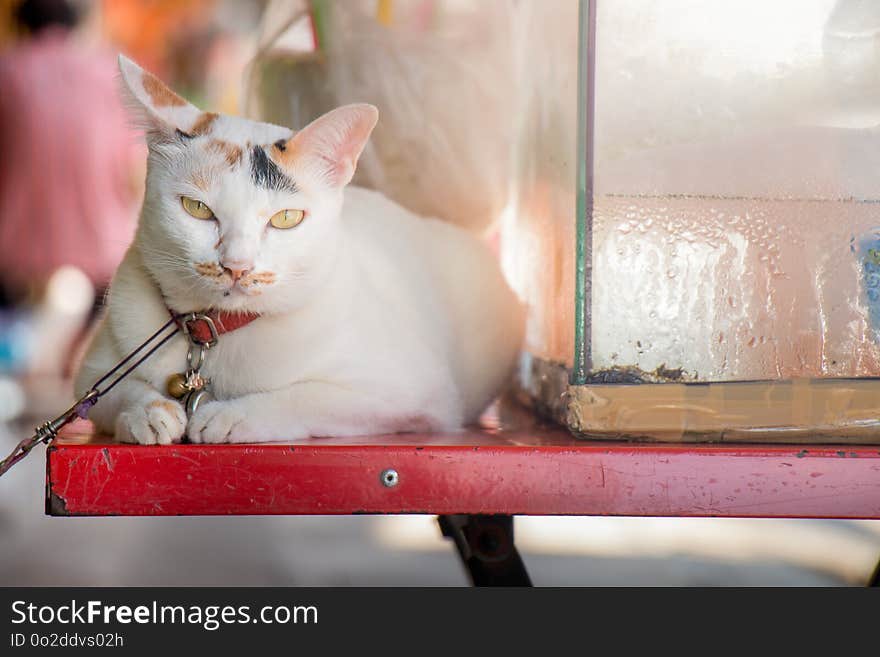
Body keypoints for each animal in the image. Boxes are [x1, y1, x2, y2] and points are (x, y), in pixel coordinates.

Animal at [74, 57, 524, 446]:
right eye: (197, 209)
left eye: (286, 218)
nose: (236, 266)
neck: (216, 338)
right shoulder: (92, 374)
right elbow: (108, 394)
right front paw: (147, 411)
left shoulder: (418, 393)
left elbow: (312, 397)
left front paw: (234, 414)